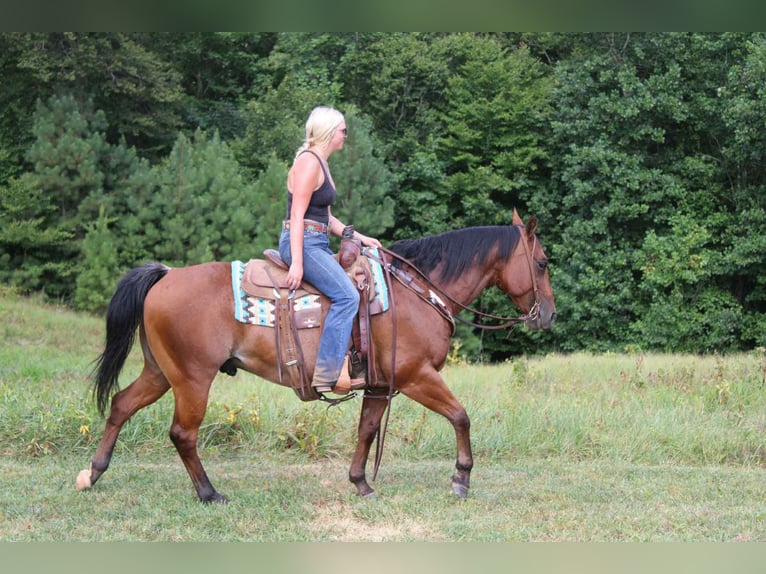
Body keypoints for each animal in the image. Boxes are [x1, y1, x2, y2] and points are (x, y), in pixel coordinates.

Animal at [75, 211, 556, 503]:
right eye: (543, 262)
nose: (549, 314)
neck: (416, 291)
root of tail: (167, 275)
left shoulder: (380, 386)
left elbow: (366, 431)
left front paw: (361, 483)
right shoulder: (416, 376)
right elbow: (460, 417)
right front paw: (461, 478)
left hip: (160, 372)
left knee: (120, 405)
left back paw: (92, 474)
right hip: (193, 378)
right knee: (182, 434)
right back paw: (209, 493)